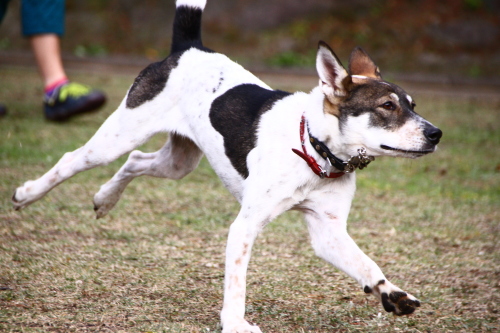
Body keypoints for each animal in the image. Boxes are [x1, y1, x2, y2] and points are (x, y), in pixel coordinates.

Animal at [10, 1, 442, 330]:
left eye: (413, 105)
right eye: (387, 107)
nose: (436, 134)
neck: (314, 150)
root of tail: (188, 49)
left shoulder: (328, 232)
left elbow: (366, 264)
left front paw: (392, 294)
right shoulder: (245, 226)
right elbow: (237, 285)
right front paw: (235, 323)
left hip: (178, 161)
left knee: (136, 162)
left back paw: (104, 199)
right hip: (117, 138)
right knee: (73, 161)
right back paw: (28, 193)